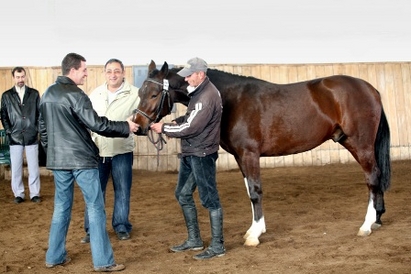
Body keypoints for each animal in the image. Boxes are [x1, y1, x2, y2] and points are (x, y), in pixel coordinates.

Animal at [134, 60, 392, 246]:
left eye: (154, 94)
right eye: (140, 93)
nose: (138, 126)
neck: (229, 98)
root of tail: (371, 89)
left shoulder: (250, 154)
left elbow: (256, 191)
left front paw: (255, 235)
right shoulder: (240, 157)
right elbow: (249, 190)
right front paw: (254, 229)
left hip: (360, 143)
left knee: (372, 178)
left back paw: (366, 225)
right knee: (377, 176)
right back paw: (378, 219)